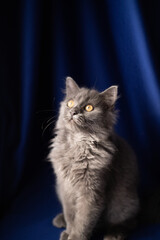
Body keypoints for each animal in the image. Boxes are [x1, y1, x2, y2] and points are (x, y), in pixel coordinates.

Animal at [49, 77, 139, 240]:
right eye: (70, 103)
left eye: (89, 108)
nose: (73, 111)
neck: (77, 145)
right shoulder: (65, 187)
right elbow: (71, 214)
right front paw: (68, 231)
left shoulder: (91, 192)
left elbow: (83, 220)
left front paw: (74, 236)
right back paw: (60, 220)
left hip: (122, 203)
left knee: (131, 222)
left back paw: (114, 233)